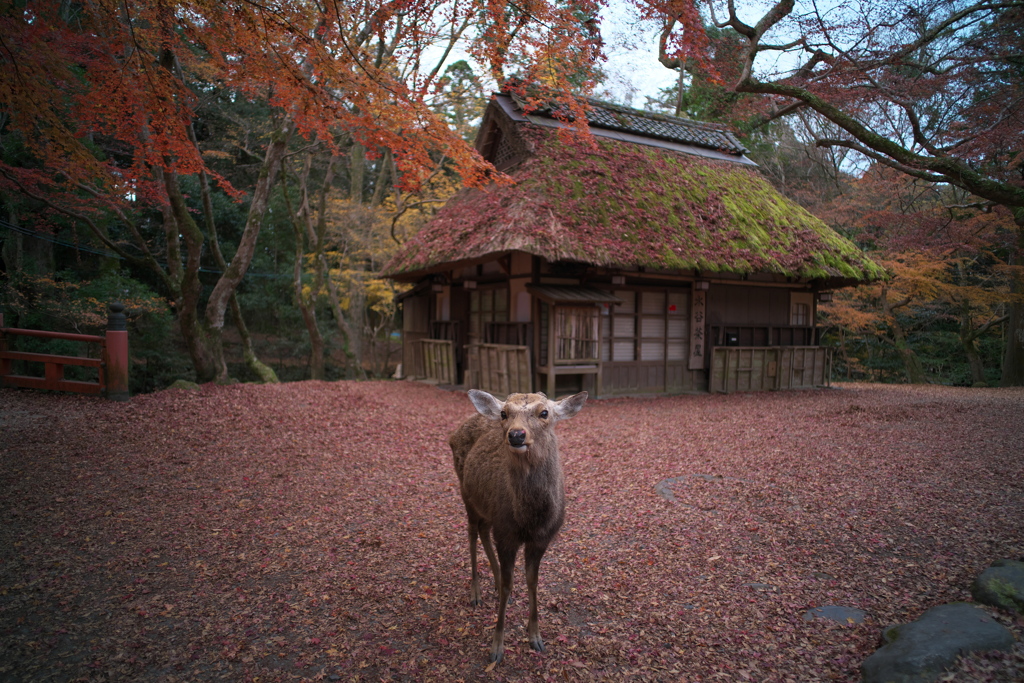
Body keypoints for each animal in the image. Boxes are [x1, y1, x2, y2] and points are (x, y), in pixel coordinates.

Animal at [450, 393, 589, 663]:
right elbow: (508, 583)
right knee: (471, 532)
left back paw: (492, 582)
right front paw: (496, 647)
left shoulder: (540, 538)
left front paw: (535, 636)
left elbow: (532, 581)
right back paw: (476, 592)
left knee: (483, 531)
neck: (529, 520)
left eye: (544, 413)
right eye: (504, 413)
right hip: (466, 492)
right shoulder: (506, 534)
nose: (515, 434)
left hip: (488, 510)